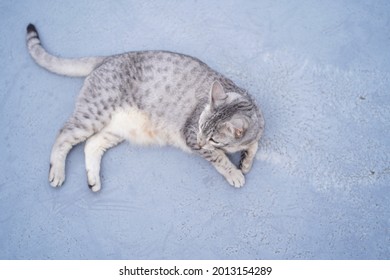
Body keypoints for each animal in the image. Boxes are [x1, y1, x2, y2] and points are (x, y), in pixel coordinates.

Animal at [25, 24, 266, 191]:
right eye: (199, 128)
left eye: (213, 137)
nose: (200, 141)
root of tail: (108, 58)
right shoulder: (190, 135)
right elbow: (219, 158)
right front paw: (235, 173)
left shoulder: (256, 129)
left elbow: (254, 145)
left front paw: (245, 162)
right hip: (93, 114)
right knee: (63, 135)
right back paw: (57, 172)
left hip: (116, 129)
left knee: (91, 144)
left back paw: (93, 180)